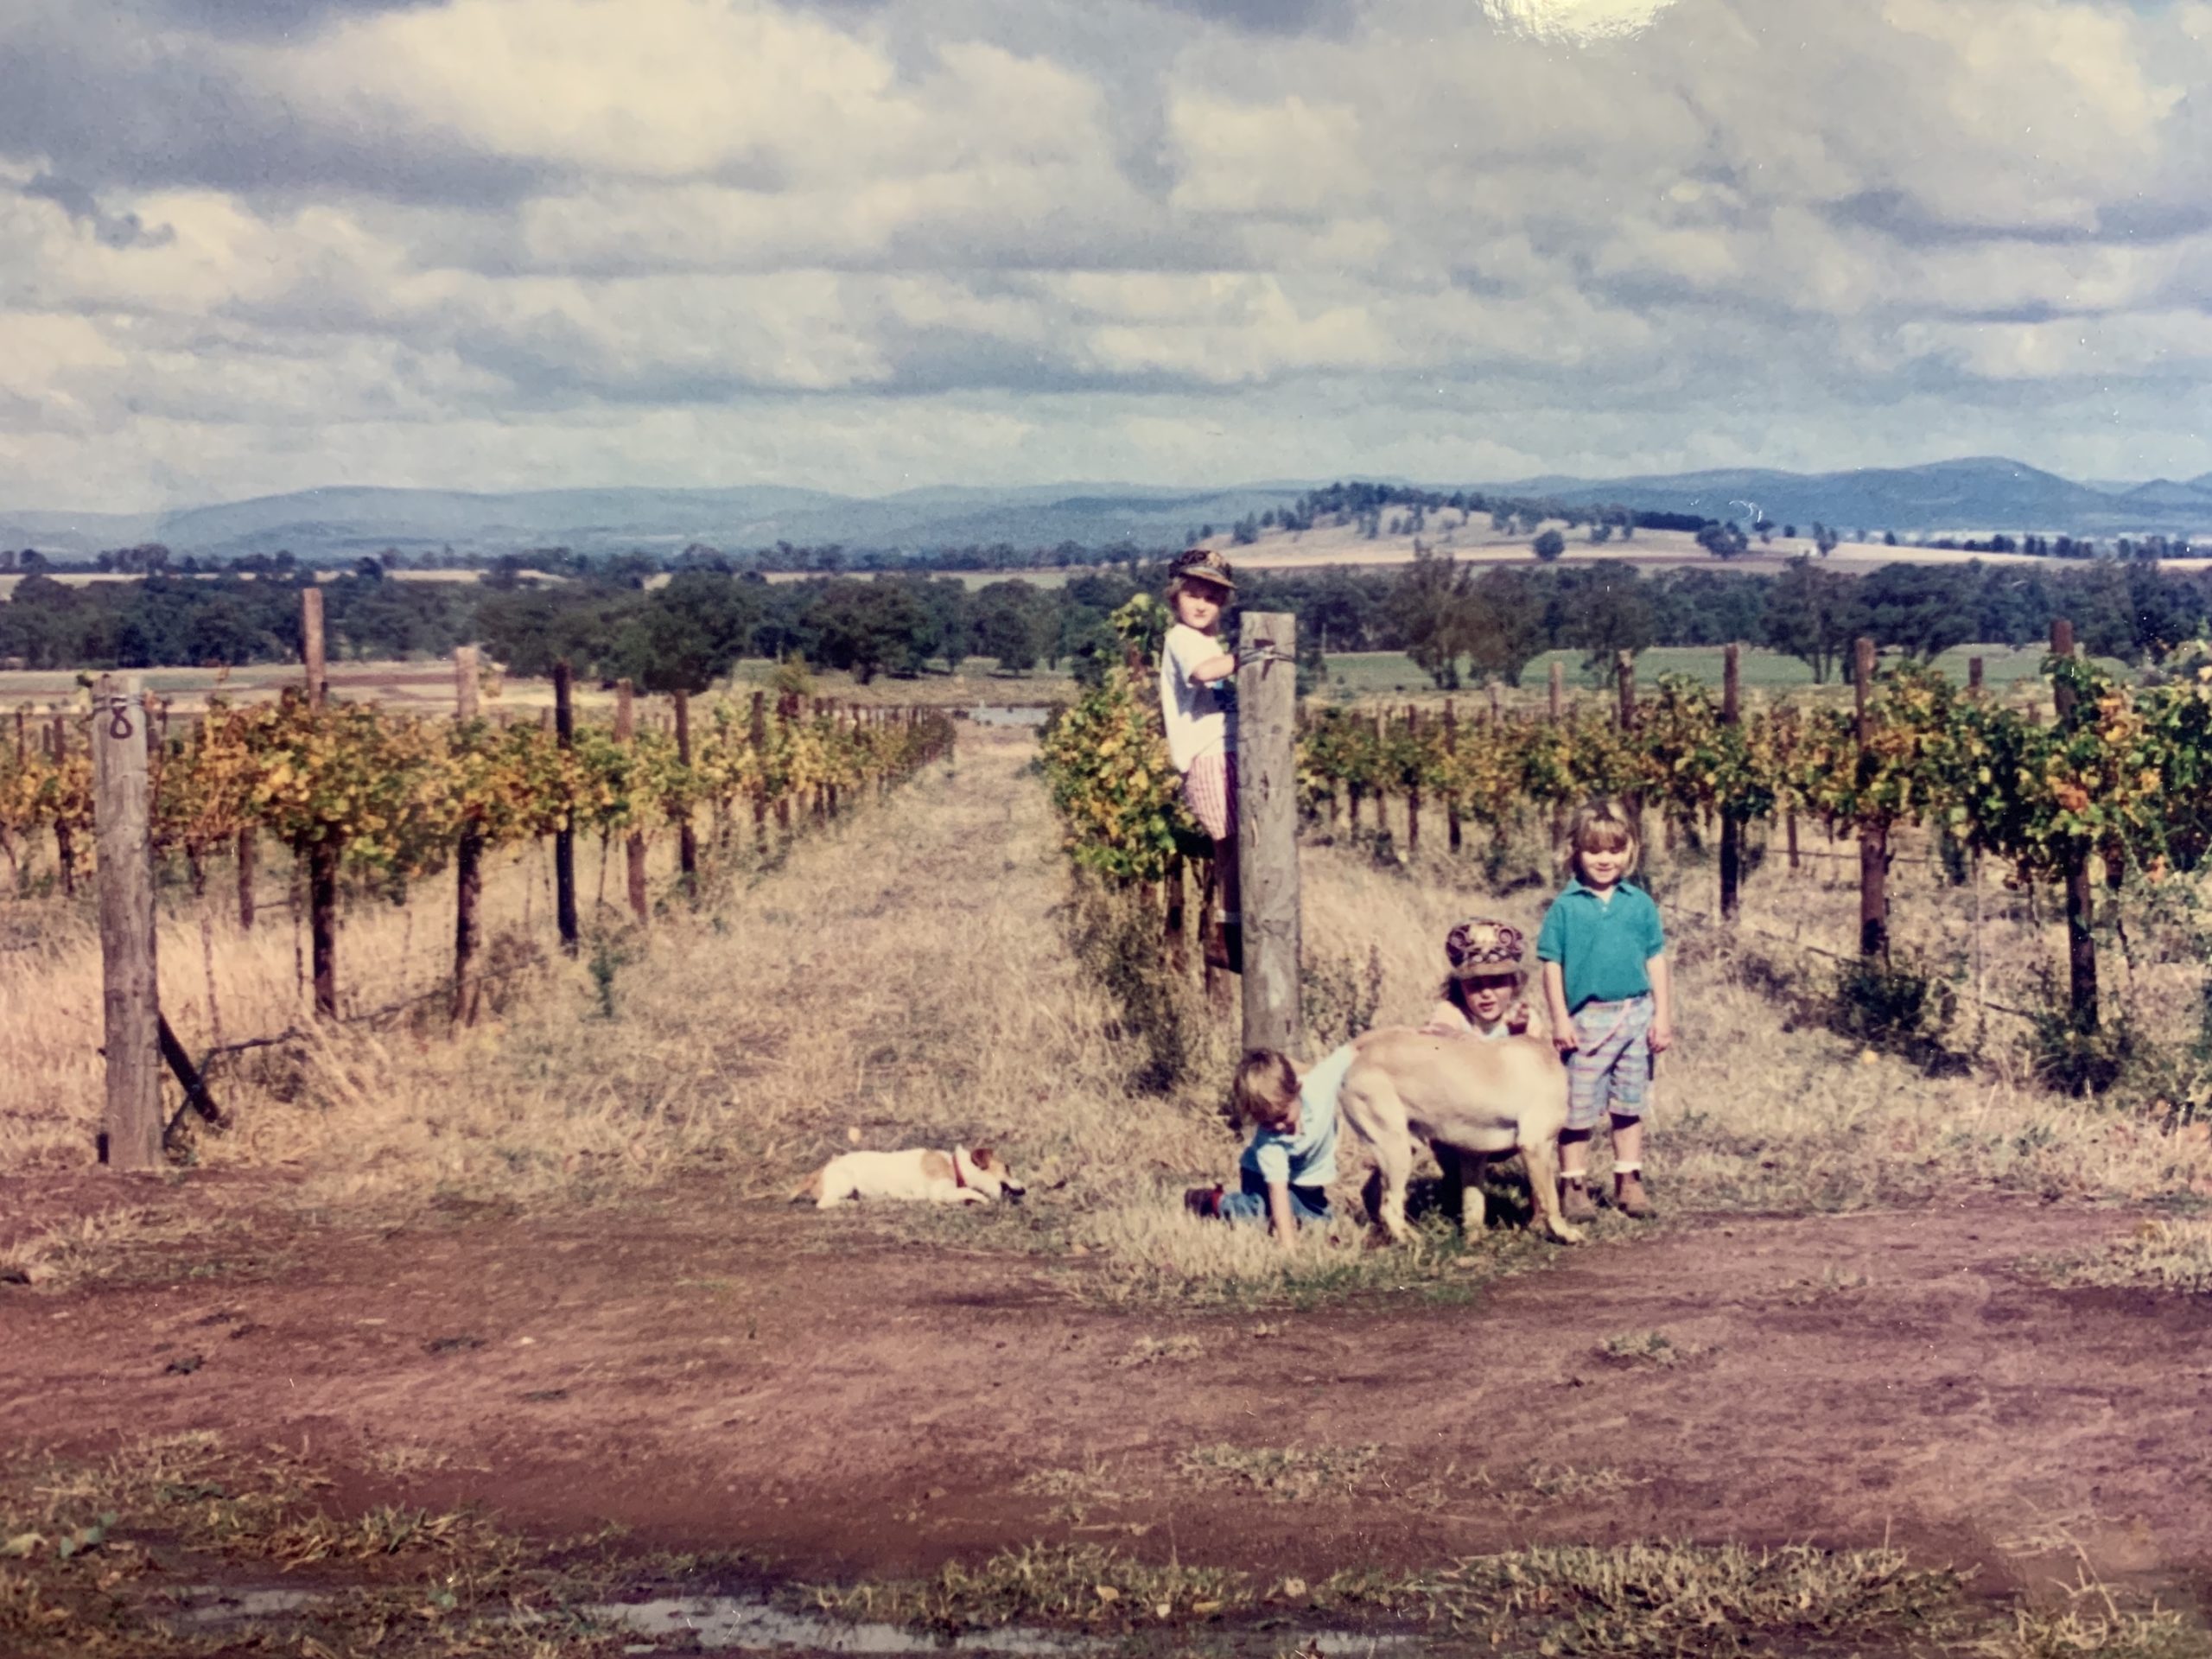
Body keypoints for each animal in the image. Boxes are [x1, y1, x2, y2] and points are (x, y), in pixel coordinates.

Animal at [791, 1150, 1021, 1211]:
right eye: (1007, 1168)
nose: (1025, 1190)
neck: (954, 1165)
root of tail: (820, 1170)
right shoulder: (942, 1191)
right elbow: (972, 1192)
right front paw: (982, 1199)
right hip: (845, 1182)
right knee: (825, 1203)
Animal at [1318, 1026, 1583, 1247]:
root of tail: (1359, 1053)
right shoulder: (1536, 1145)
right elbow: (1550, 1198)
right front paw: (1563, 1232)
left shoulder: (1474, 1155)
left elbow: (1474, 1204)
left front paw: (1475, 1238)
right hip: (1396, 1148)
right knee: (1390, 1208)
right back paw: (1415, 1241)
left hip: (1401, 1145)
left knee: (1372, 1194)